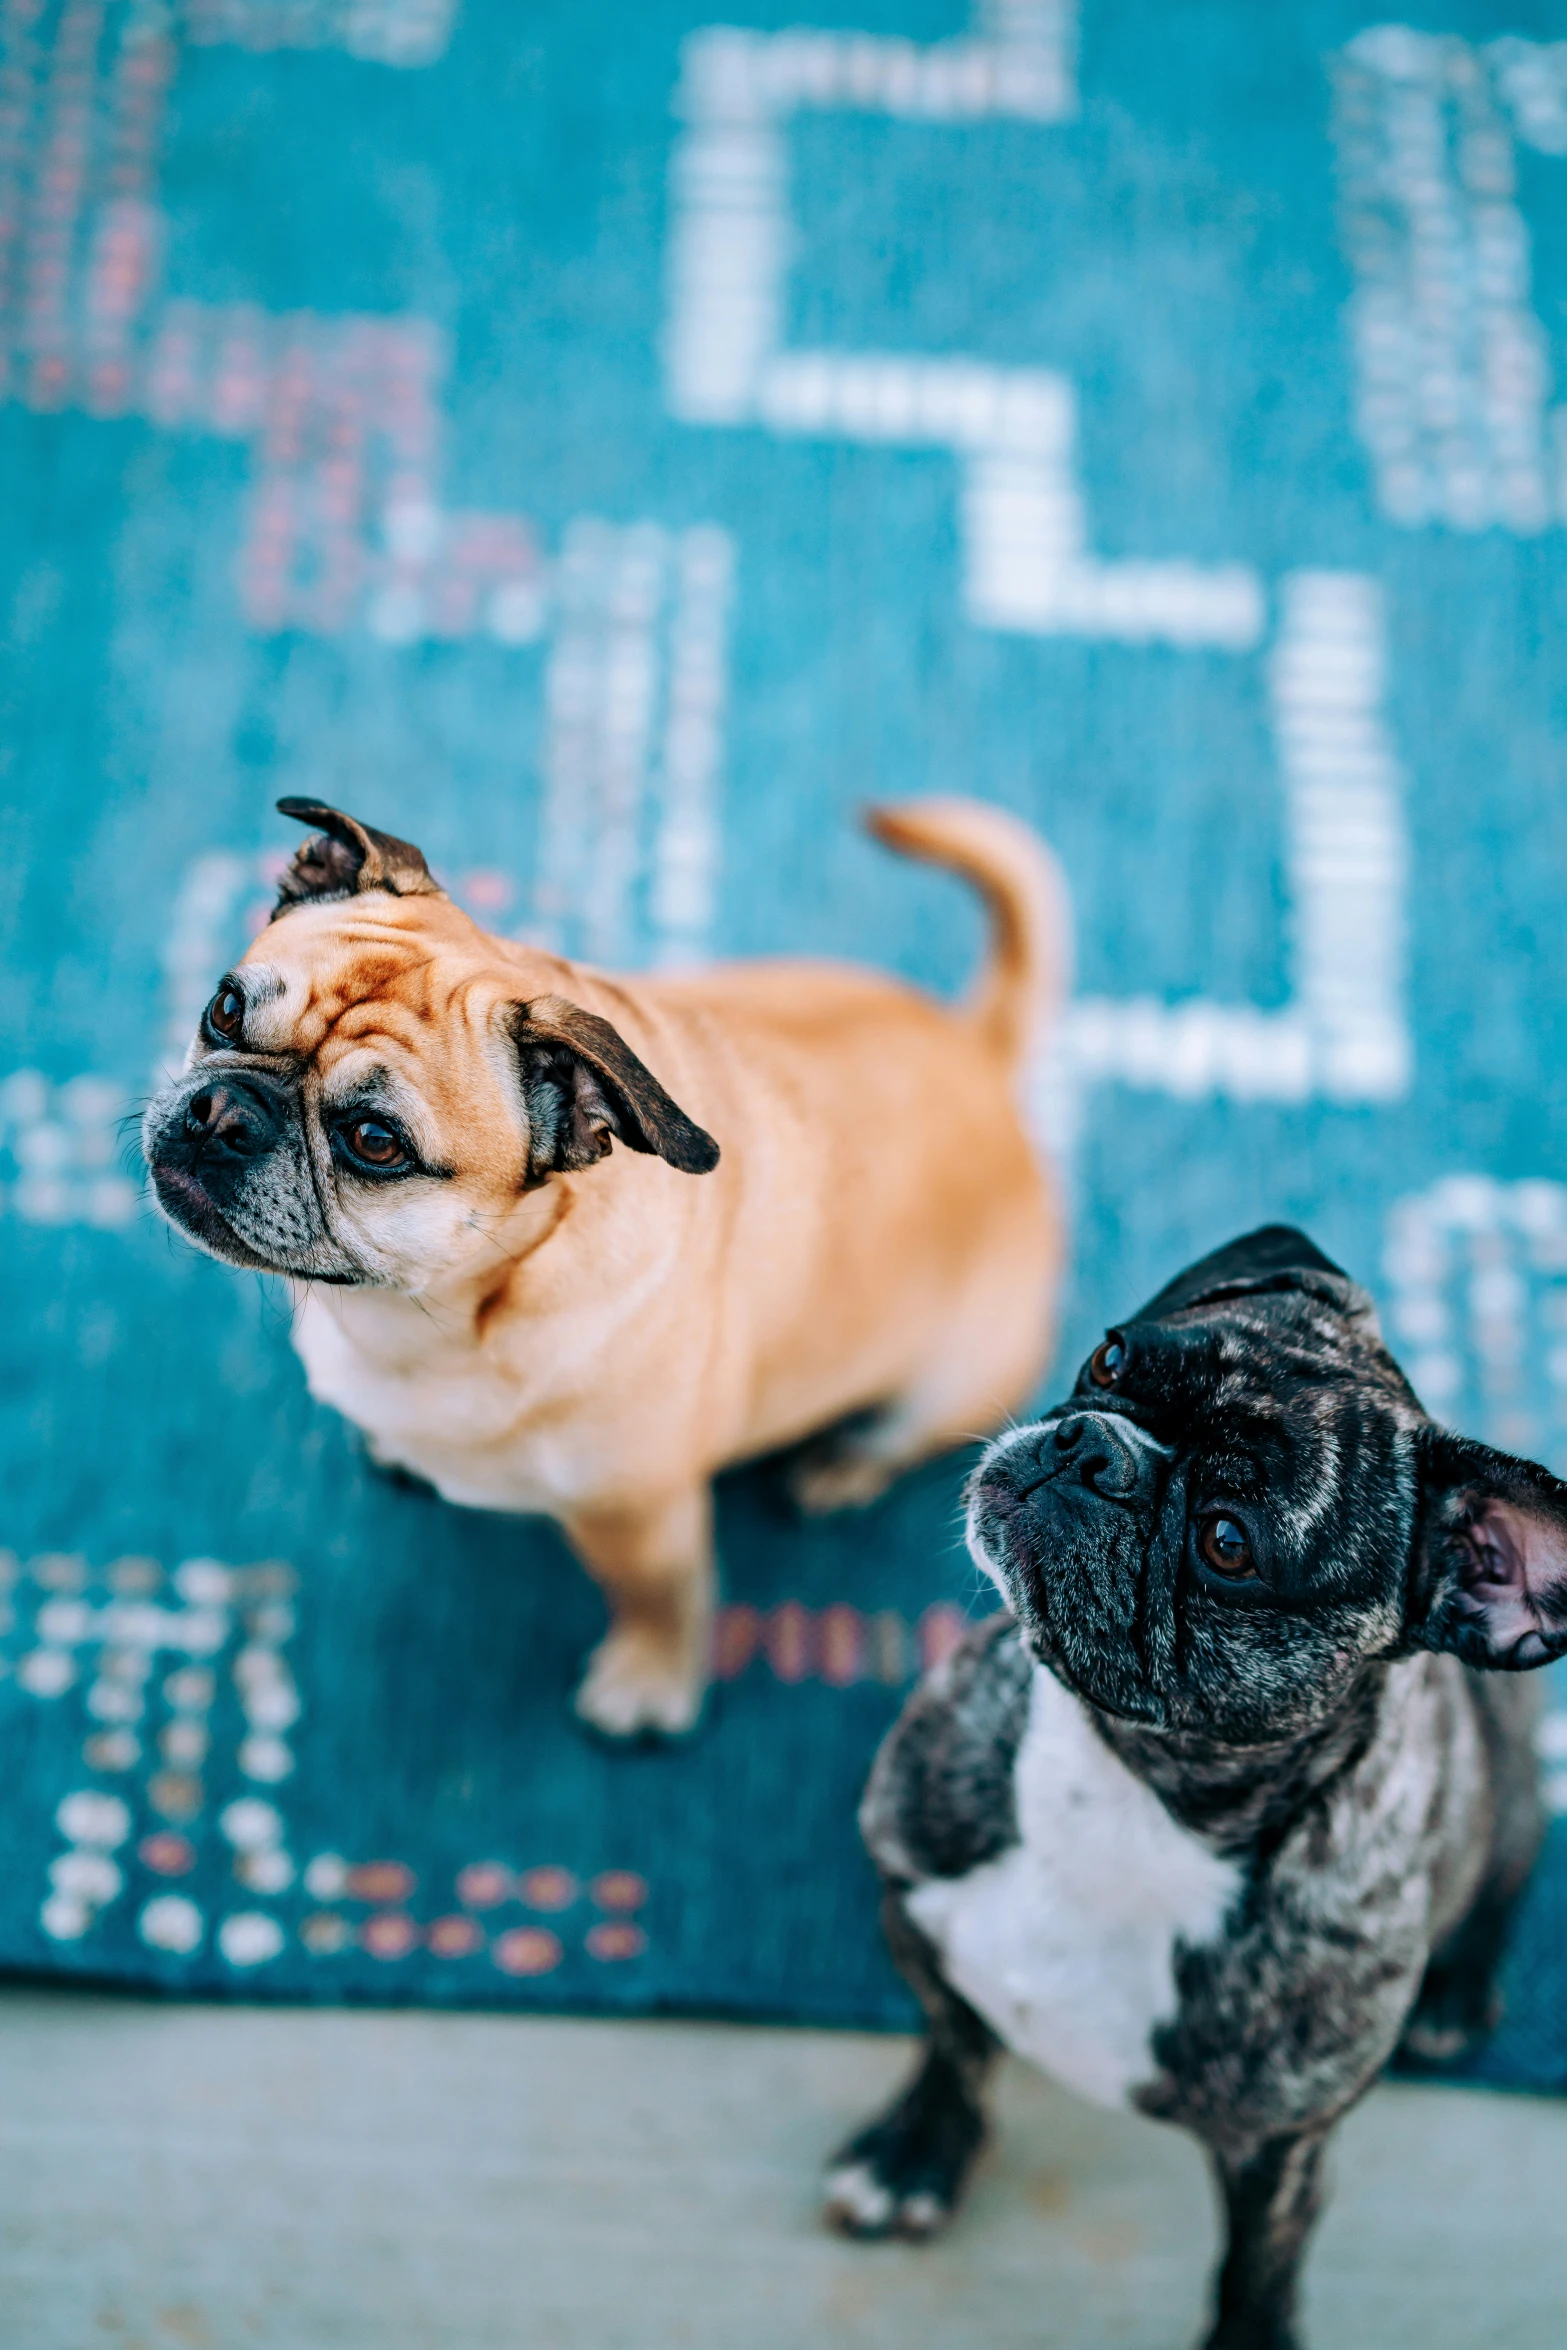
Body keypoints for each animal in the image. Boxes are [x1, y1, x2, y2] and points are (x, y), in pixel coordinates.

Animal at [143, 798, 1066, 1738]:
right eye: (224, 1009)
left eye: (374, 1141)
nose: (224, 1112)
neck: (445, 1310)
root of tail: (979, 1055)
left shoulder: (639, 1512)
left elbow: (656, 1595)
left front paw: (650, 1680)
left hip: (940, 1390)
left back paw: (837, 1467)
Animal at [826, 1231, 1559, 2350]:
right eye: (1110, 1360)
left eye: (1226, 1543)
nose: (1091, 1448)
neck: (1126, 1784)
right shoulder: (917, 1915)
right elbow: (953, 2053)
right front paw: (912, 2158)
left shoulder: (1280, 2147)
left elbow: (1257, 2268)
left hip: (1510, 1787)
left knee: (1503, 1876)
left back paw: (1457, 1991)